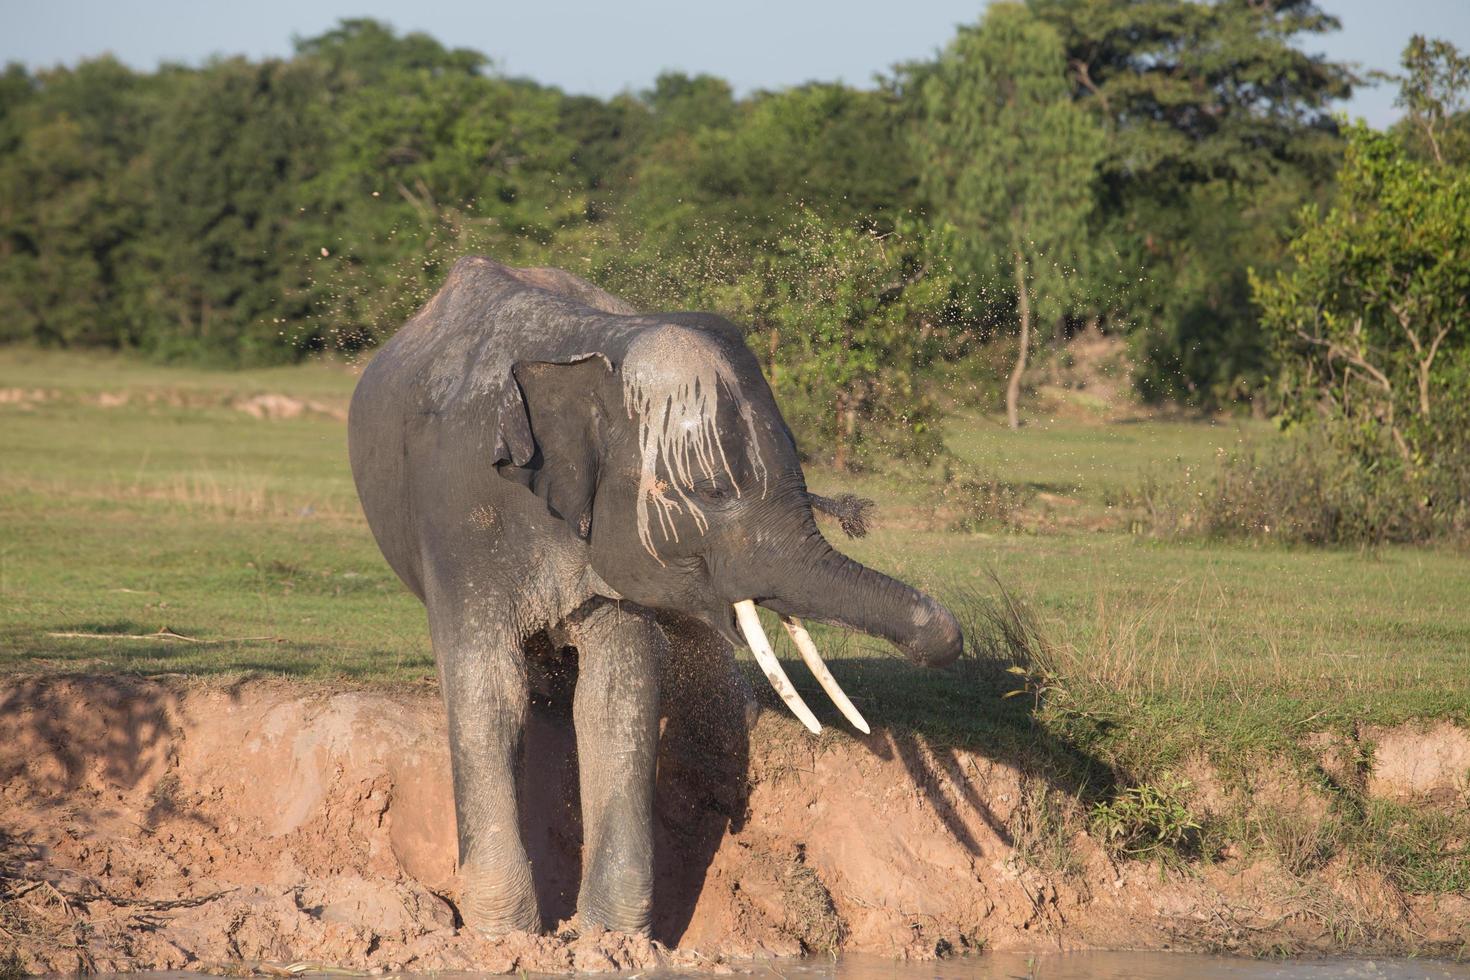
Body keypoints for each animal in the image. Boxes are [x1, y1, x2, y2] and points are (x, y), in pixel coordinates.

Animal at [347, 256, 963, 938]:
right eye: (712, 488)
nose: (948, 638)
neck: (592, 349)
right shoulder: (460, 516)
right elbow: (490, 695)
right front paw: (505, 938)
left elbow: (616, 698)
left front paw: (609, 939)